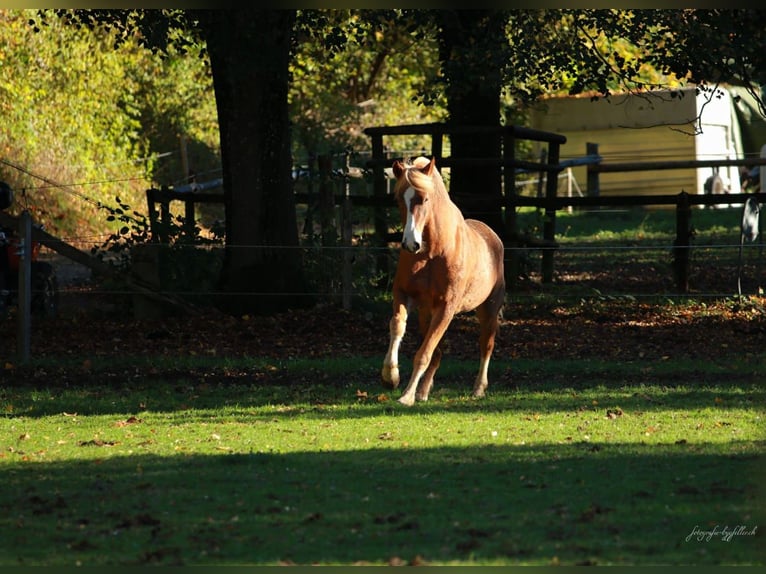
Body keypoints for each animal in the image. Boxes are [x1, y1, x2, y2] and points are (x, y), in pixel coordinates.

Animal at [380, 155, 508, 408]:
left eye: (425, 199)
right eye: (399, 199)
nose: (410, 243)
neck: (431, 253)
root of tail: (493, 237)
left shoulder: (447, 307)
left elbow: (424, 353)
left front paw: (406, 396)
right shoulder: (404, 295)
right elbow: (398, 326)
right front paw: (391, 377)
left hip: (487, 310)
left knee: (486, 345)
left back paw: (478, 388)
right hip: (427, 313)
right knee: (437, 351)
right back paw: (423, 391)